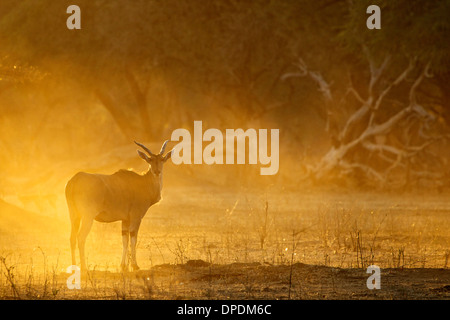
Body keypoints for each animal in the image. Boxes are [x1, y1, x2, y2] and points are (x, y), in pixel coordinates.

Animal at [65, 139, 172, 270]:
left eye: (162, 159)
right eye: (150, 160)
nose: (157, 172)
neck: (143, 183)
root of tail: (75, 180)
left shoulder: (125, 220)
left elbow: (124, 239)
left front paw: (123, 266)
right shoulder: (136, 217)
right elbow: (133, 238)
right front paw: (135, 265)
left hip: (74, 215)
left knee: (72, 238)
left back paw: (73, 266)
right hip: (87, 217)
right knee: (81, 237)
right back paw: (84, 269)